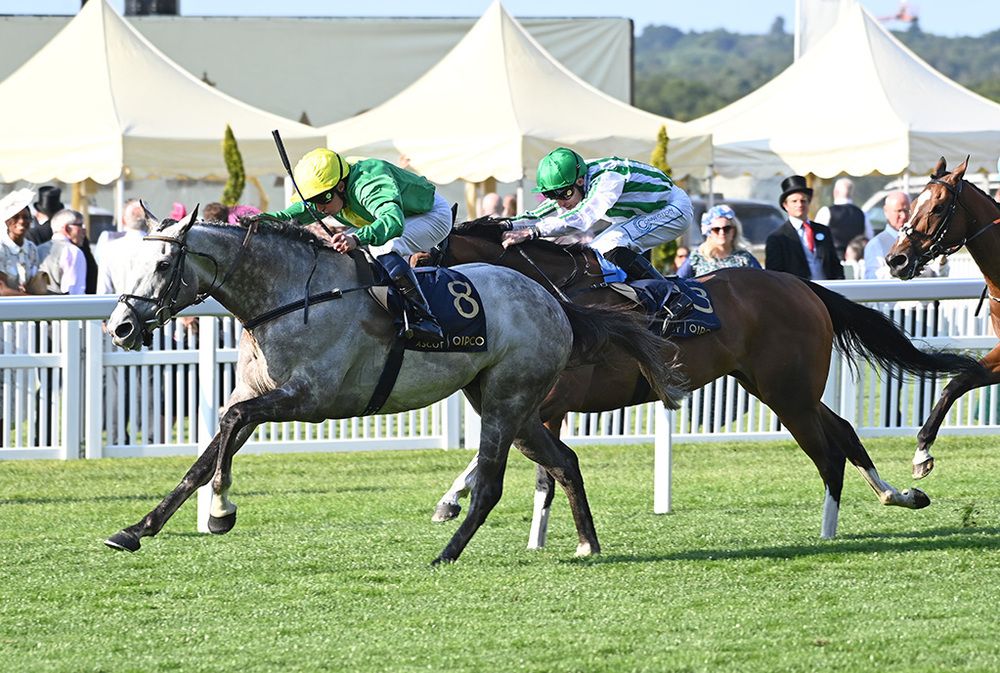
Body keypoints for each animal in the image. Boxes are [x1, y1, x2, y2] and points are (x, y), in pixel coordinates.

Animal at [101, 209, 684, 560]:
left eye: (162, 263)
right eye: (127, 262)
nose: (120, 327)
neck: (289, 296)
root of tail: (557, 302)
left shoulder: (309, 399)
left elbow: (229, 425)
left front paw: (222, 511)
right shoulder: (257, 393)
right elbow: (205, 456)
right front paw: (137, 529)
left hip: (508, 398)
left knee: (492, 485)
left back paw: (446, 553)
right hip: (512, 406)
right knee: (563, 461)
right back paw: (587, 544)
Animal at [424, 218, 984, 544]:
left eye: (421, 250)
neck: (552, 293)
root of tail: (801, 285)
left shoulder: (545, 401)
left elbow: (509, 459)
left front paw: (450, 502)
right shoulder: (547, 406)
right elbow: (543, 476)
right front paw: (539, 538)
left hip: (787, 394)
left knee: (827, 453)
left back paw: (828, 532)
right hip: (781, 388)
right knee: (844, 431)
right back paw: (899, 494)